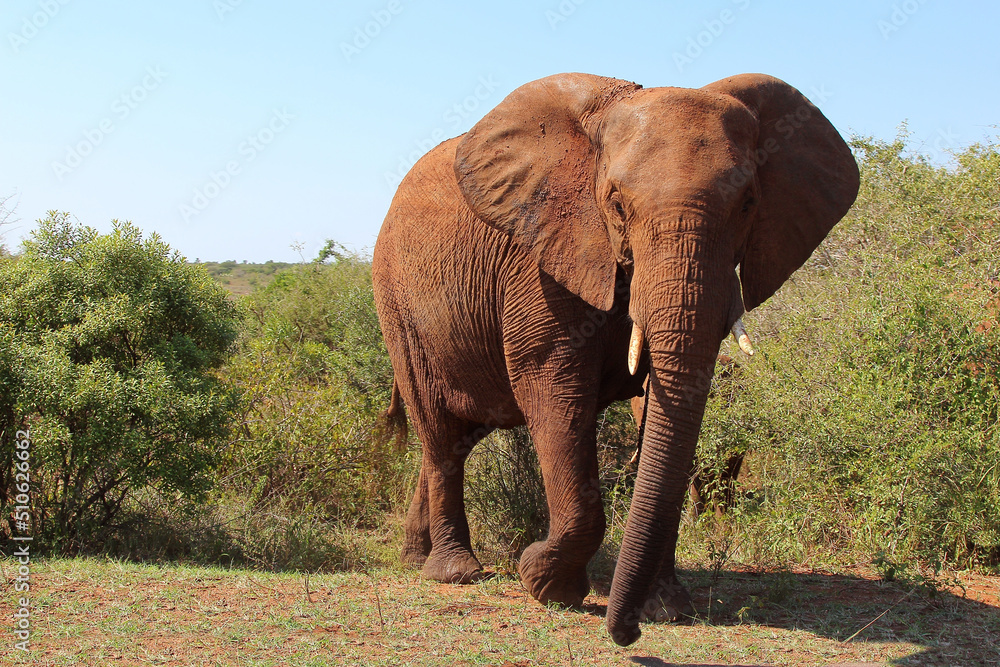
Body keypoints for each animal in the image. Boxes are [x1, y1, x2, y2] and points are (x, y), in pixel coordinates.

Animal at [372, 72, 858, 646]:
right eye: (617, 204)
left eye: (748, 203)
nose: (625, 633)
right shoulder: (544, 260)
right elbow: (555, 393)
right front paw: (547, 584)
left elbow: (661, 405)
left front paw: (665, 608)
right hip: (398, 305)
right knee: (440, 431)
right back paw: (456, 573)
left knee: (455, 438)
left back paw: (414, 558)